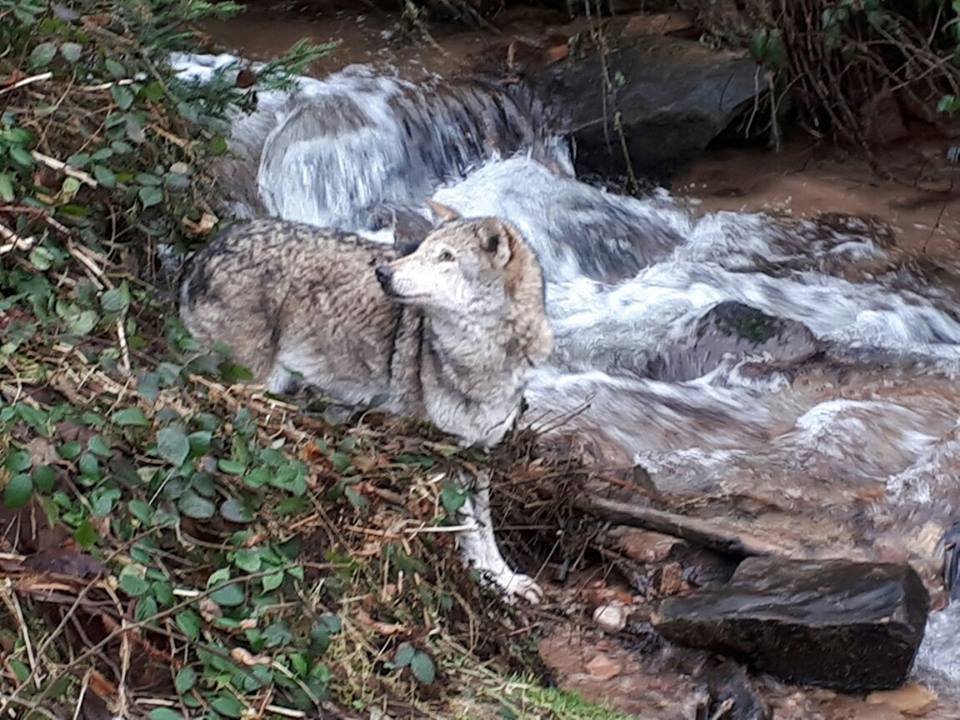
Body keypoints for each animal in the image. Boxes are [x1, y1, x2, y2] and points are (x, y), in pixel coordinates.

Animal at [181, 214, 556, 600]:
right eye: (420, 249)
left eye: (446, 256)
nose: (383, 273)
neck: (482, 361)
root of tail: (208, 250)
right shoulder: (440, 455)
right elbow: (468, 528)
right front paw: (487, 579)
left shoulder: (479, 455)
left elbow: (487, 531)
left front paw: (504, 578)